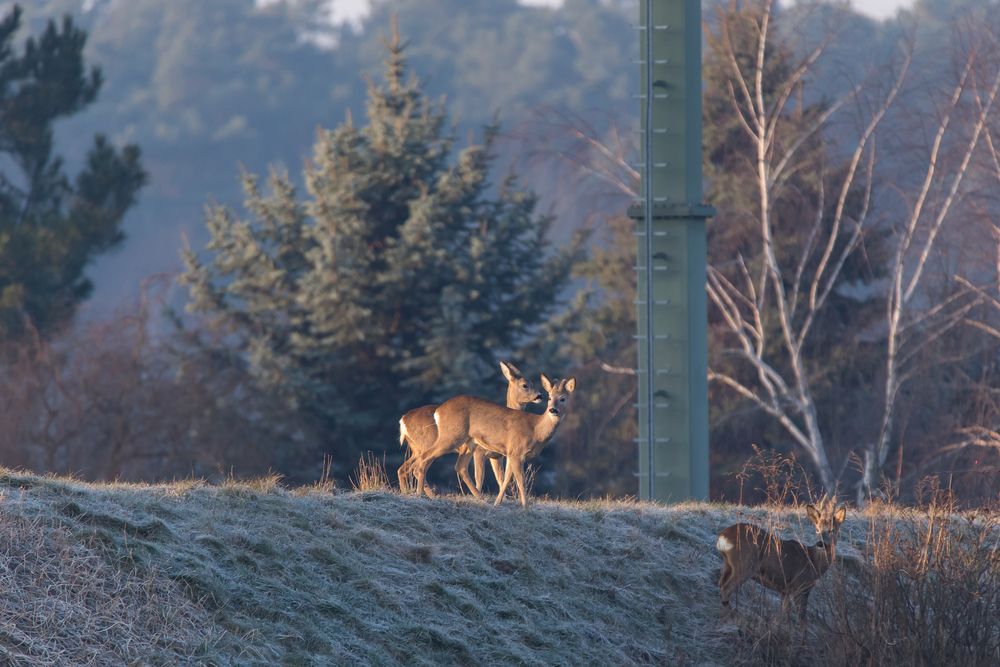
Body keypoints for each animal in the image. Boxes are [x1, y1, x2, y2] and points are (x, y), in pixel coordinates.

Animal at [394, 360, 544, 496]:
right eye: (525, 385)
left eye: (533, 383)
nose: (539, 395)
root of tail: (403, 419)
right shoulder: (480, 451)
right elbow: (480, 477)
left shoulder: (496, 456)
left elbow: (500, 479)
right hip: (429, 443)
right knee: (418, 466)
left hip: (416, 448)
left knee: (404, 468)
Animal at [410, 374, 576, 508]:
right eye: (549, 398)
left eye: (563, 398)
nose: (553, 410)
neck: (535, 430)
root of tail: (439, 411)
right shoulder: (516, 451)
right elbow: (520, 481)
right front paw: (526, 507)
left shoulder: (510, 453)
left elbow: (506, 479)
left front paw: (498, 503)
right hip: (452, 436)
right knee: (425, 457)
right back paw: (419, 494)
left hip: (469, 442)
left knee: (459, 466)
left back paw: (480, 498)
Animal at [716, 498, 848, 624]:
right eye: (817, 529)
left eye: (832, 530)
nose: (821, 543)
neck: (813, 563)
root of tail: (723, 536)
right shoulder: (800, 585)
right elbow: (802, 620)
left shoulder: (785, 591)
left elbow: (784, 616)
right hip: (745, 563)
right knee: (726, 588)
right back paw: (733, 618)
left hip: (727, 564)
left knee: (721, 584)